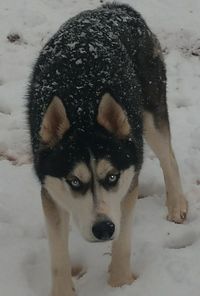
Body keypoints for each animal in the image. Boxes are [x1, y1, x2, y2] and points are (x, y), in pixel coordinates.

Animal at [26, 2, 188, 296]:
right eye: (74, 181)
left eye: (112, 176)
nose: (103, 228)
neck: (83, 104)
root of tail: (117, 8)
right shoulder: (51, 191)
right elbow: (58, 255)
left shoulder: (128, 182)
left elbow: (123, 241)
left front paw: (120, 284)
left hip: (150, 112)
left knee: (168, 157)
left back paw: (176, 203)